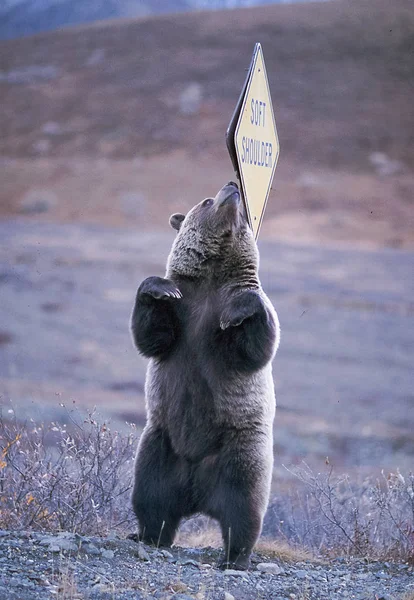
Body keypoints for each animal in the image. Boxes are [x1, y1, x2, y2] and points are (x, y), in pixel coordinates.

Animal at [129, 180, 280, 568]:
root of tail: (197, 495)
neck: (213, 277)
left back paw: (234, 557)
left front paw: (237, 313)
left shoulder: (227, 316)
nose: (233, 185)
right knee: (151, 495)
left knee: (243, 508)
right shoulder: (184, 314)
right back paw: (148, 534)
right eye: (207, 200)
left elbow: (255, 346)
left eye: (244, 213)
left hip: (240, 451)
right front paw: (159, 287)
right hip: (161, 444)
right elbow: (152, 335)